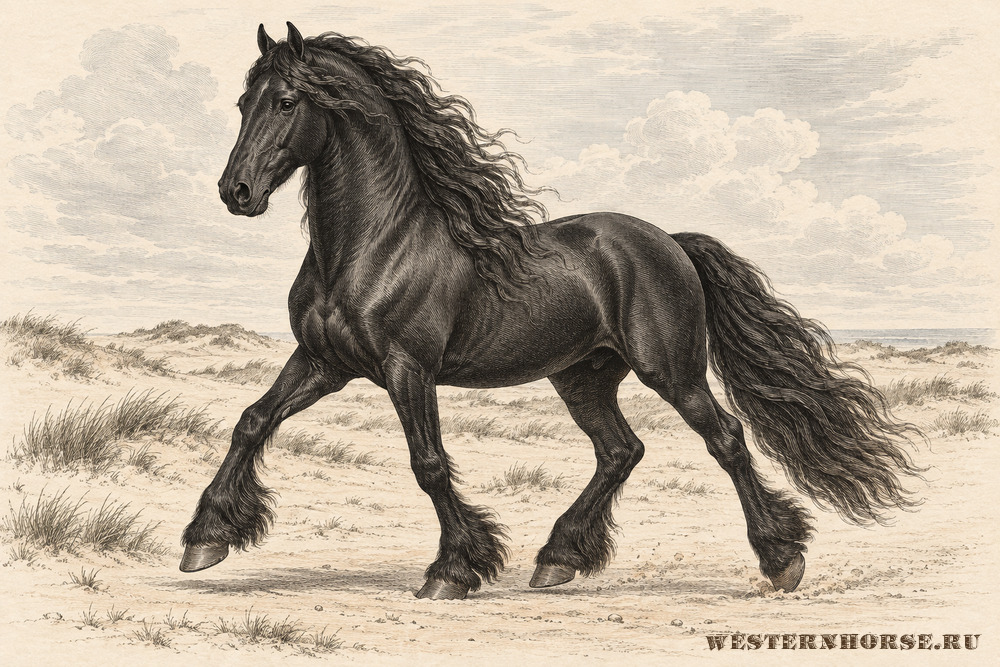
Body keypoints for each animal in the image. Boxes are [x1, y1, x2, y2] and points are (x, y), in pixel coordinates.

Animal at [180, 22, 922, 600]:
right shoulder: (323, 361)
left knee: (726, 439)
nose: (234, 191)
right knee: (621, 450)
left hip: (672, 369)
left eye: (285, 101)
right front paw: (204, 539)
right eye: (243, 101)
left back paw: (781, 559)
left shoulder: (405, 368)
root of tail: (670, 242)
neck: (376, 243)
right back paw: (559, 558)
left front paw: (453, 570)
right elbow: (252, 421)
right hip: (583, 376)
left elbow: (429, 462)